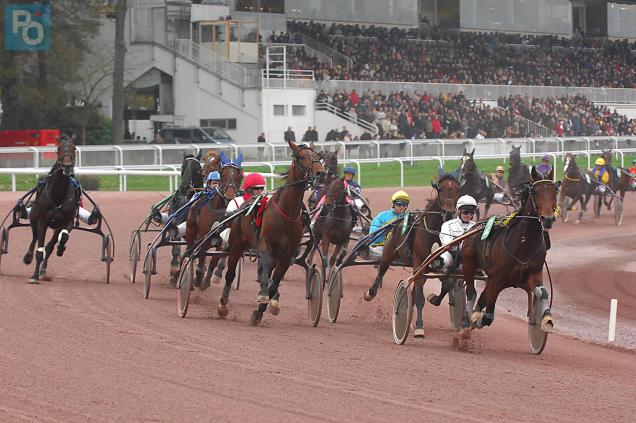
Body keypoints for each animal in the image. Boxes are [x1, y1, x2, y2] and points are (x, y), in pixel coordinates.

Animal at [23, 134, 80, 284]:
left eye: (74, 148)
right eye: (58, 148)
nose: (67, 166)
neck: (58, 195)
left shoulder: (66, 221)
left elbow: (61, 238)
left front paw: (61, 248)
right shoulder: (43, 221)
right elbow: (39, 249)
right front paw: (34, 276)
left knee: (50, 245)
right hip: (34, 219)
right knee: (34, 238)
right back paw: (28, 257)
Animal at [185, 153, 245, 292]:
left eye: (239, 174)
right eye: (222, 174)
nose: (230, 194)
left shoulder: (225, 239)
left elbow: (215, 258)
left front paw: (207, 280)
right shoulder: (204, 235)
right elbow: (201, 255)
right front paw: (198, 277)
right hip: (191, 230)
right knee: (191, 250)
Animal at [217, 141, 326, 326]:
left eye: (318, 156)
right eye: (300, 156)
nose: (321, 173)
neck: (286, 213)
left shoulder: (286, 255)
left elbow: (275, 281)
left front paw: (260, 311)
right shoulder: (265, 245)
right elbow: (265, 268)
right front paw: (263, 295)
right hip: (236, 244)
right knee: (230, 274)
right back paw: (223, 305)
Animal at [360, 173, 460, 338]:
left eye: (458, 190)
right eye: (441, 189)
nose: (449, 212)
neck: (434, 233)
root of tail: (397, 222)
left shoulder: (444, 265)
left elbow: (447, 285)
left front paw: (434, 299)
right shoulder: (419, 263)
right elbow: (419, 298)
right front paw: (419, 327)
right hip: (389, 252)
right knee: (381, 271)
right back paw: (371, 293)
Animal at [460, 167, 560, 352]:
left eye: (554, 191)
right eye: (535, 192)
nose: (548, 219)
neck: (523, 244)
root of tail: (476, 225)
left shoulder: (534, 274)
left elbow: (542, 292)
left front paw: (545, 320)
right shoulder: (497, 278)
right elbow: (488, 313)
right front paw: (476, 319)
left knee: (483, 295)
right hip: (468, 265)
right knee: (472, 292)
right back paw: (467, 321)